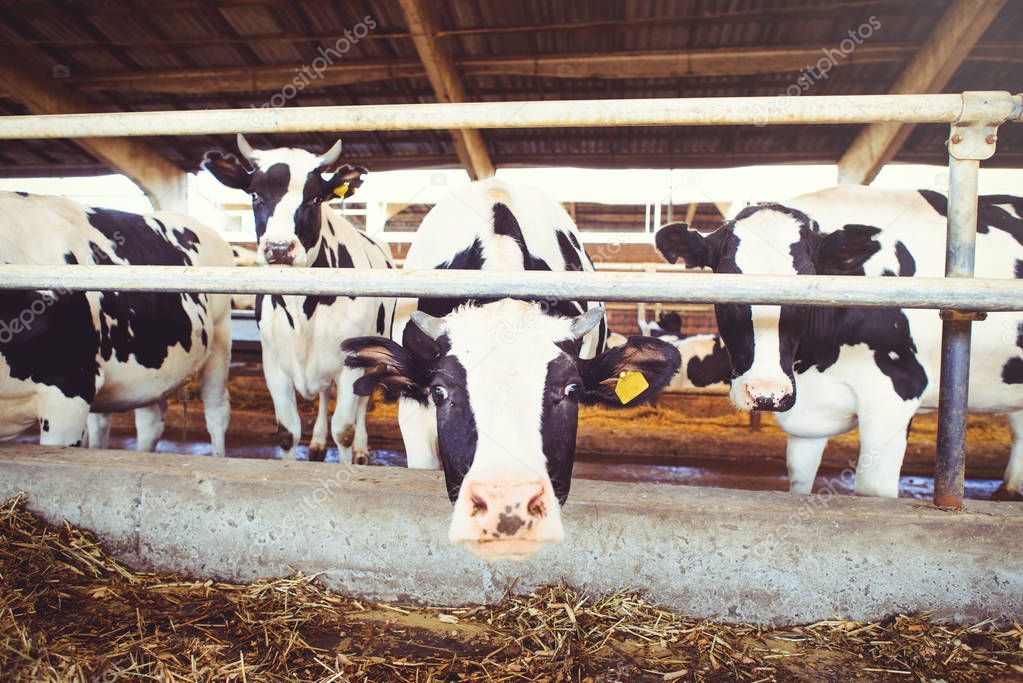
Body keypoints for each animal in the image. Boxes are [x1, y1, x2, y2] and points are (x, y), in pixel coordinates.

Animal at [201, 134, 392, 464]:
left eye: (315, 198)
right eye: (254, 195)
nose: (279, 248)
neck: (302, 309)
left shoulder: (351, 364)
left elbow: (344, 429)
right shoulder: (274, 363)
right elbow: (287, 432)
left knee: (363, 403)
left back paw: (361, 450)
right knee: (325, 394)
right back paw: (317, 443)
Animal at [654, 185, 1023, 496]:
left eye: (809, 286)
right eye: (727, 288)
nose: (766, 394)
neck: (816, 363)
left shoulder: (896, 392)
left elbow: (872, 489)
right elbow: (800, 481)